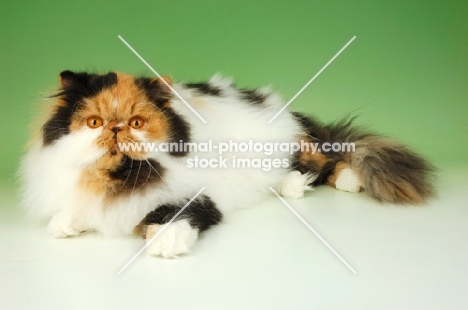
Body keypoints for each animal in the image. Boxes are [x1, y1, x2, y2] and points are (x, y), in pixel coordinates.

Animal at [18, 71, 436, 258]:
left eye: (136, 123)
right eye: (94, 123)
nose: (117, 129)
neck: (120, 178)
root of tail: (291, 112)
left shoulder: (199, 197)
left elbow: (174, 215)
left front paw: (164, 241)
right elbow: (74, 211)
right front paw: (66, 225)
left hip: (298, 146)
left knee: (329, 160)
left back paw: (330, 182)